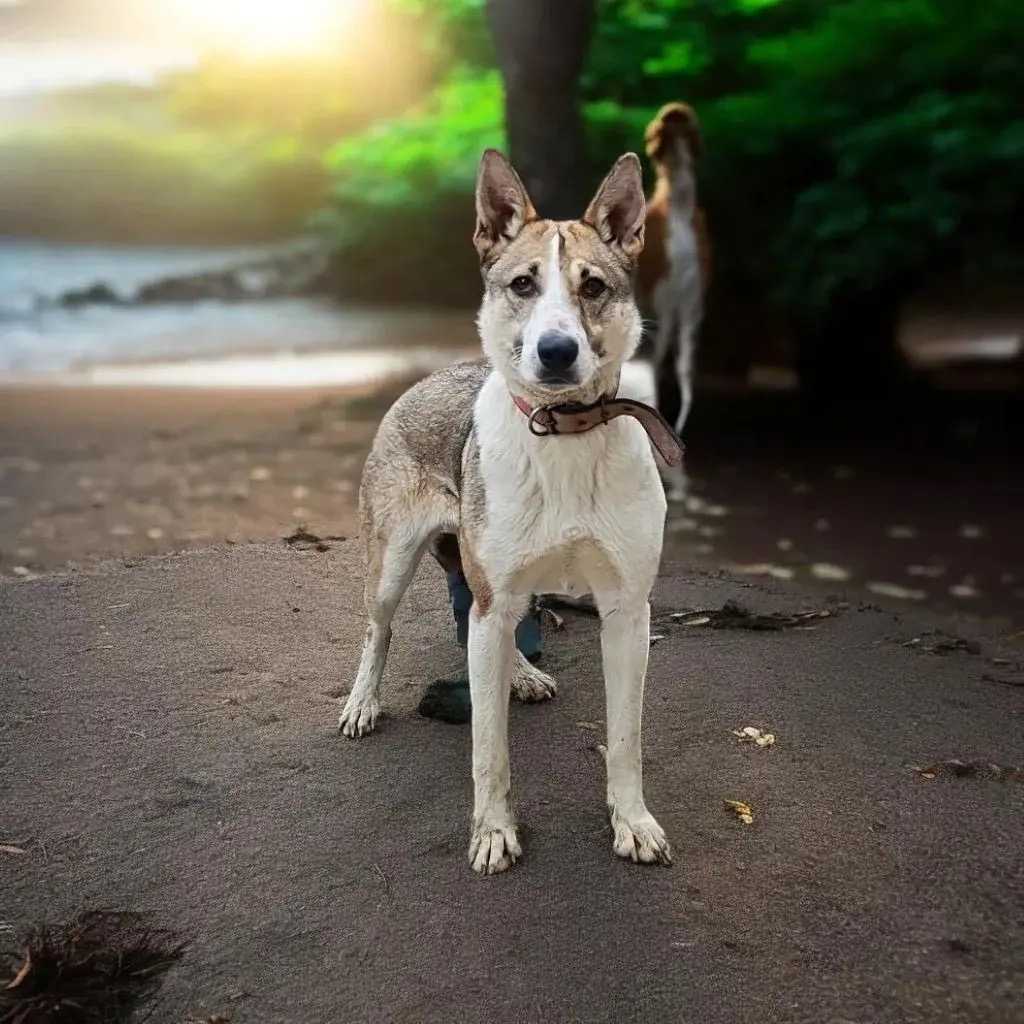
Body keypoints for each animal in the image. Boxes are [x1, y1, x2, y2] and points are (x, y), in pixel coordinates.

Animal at [338, 149, 682, 874]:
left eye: (593, 287)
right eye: (523, 283)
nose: (556, 351)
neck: (564, 433)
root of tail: (427, 376)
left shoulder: (627, 612)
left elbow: (626, 738)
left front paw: (632, 822)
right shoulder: (494, 602)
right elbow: (488, 747)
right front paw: (494, 832)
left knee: (483, 622)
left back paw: (520, 673)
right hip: (392, 567)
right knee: (381, 632)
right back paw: (362, 703)